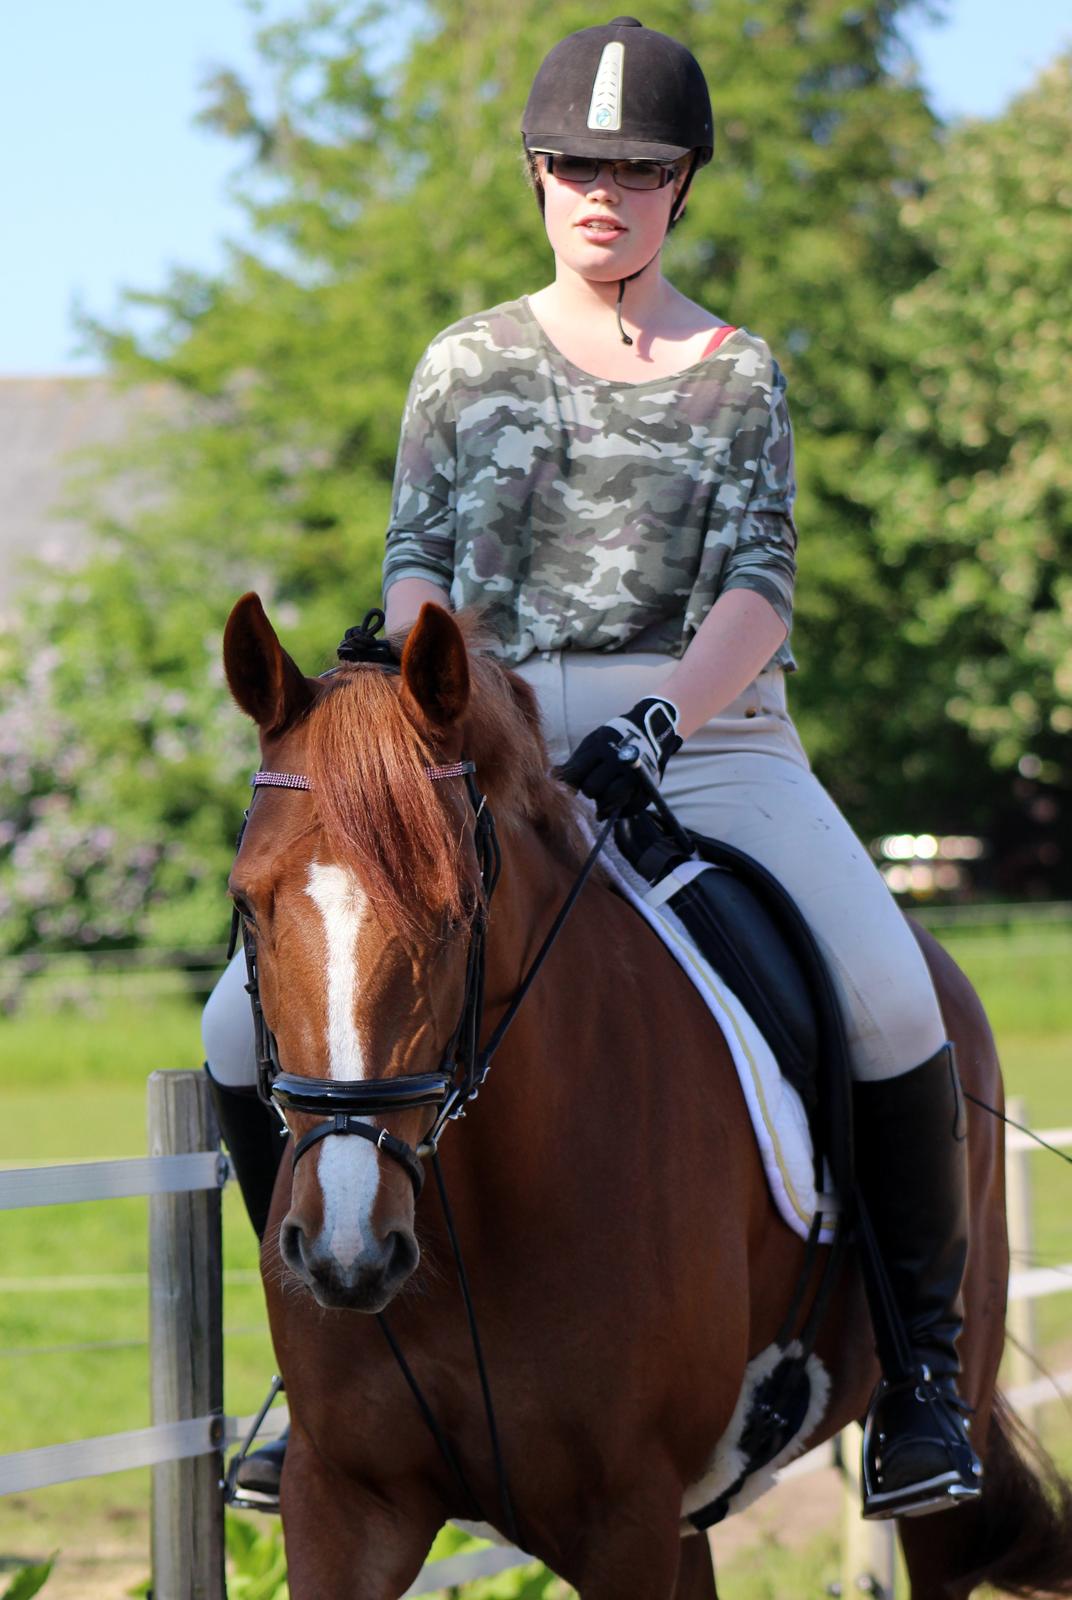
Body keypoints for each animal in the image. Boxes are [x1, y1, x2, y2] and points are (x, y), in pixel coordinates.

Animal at [222, 590, 1072, 1600]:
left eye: (460, 909)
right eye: (246, 904)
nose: (347, 1253)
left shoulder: (624, 1519)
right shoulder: (346, 1505)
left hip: (941, 1459)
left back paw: (924, 1430)